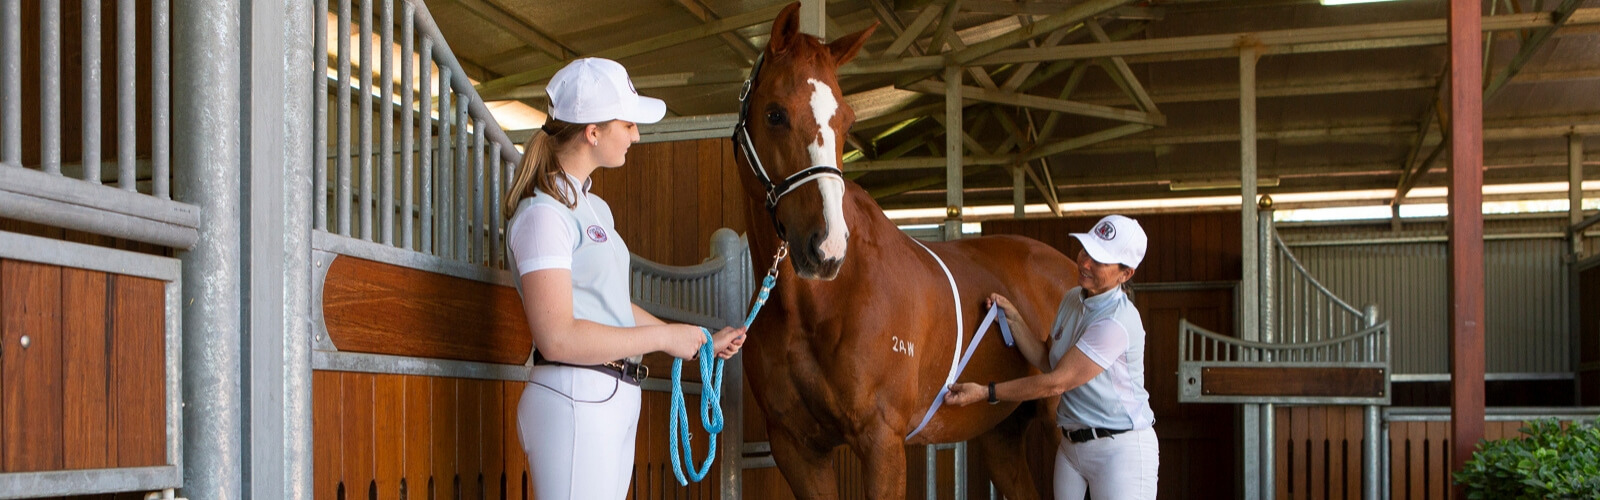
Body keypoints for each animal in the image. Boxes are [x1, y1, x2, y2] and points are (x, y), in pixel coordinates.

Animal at [734, 4, 1081, 498]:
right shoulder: (796, 449)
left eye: (848, 120)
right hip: (1002, 435)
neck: (819, 305)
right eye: (775, 114)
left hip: (1061, 423)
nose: (827, 248)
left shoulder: (881, 442)